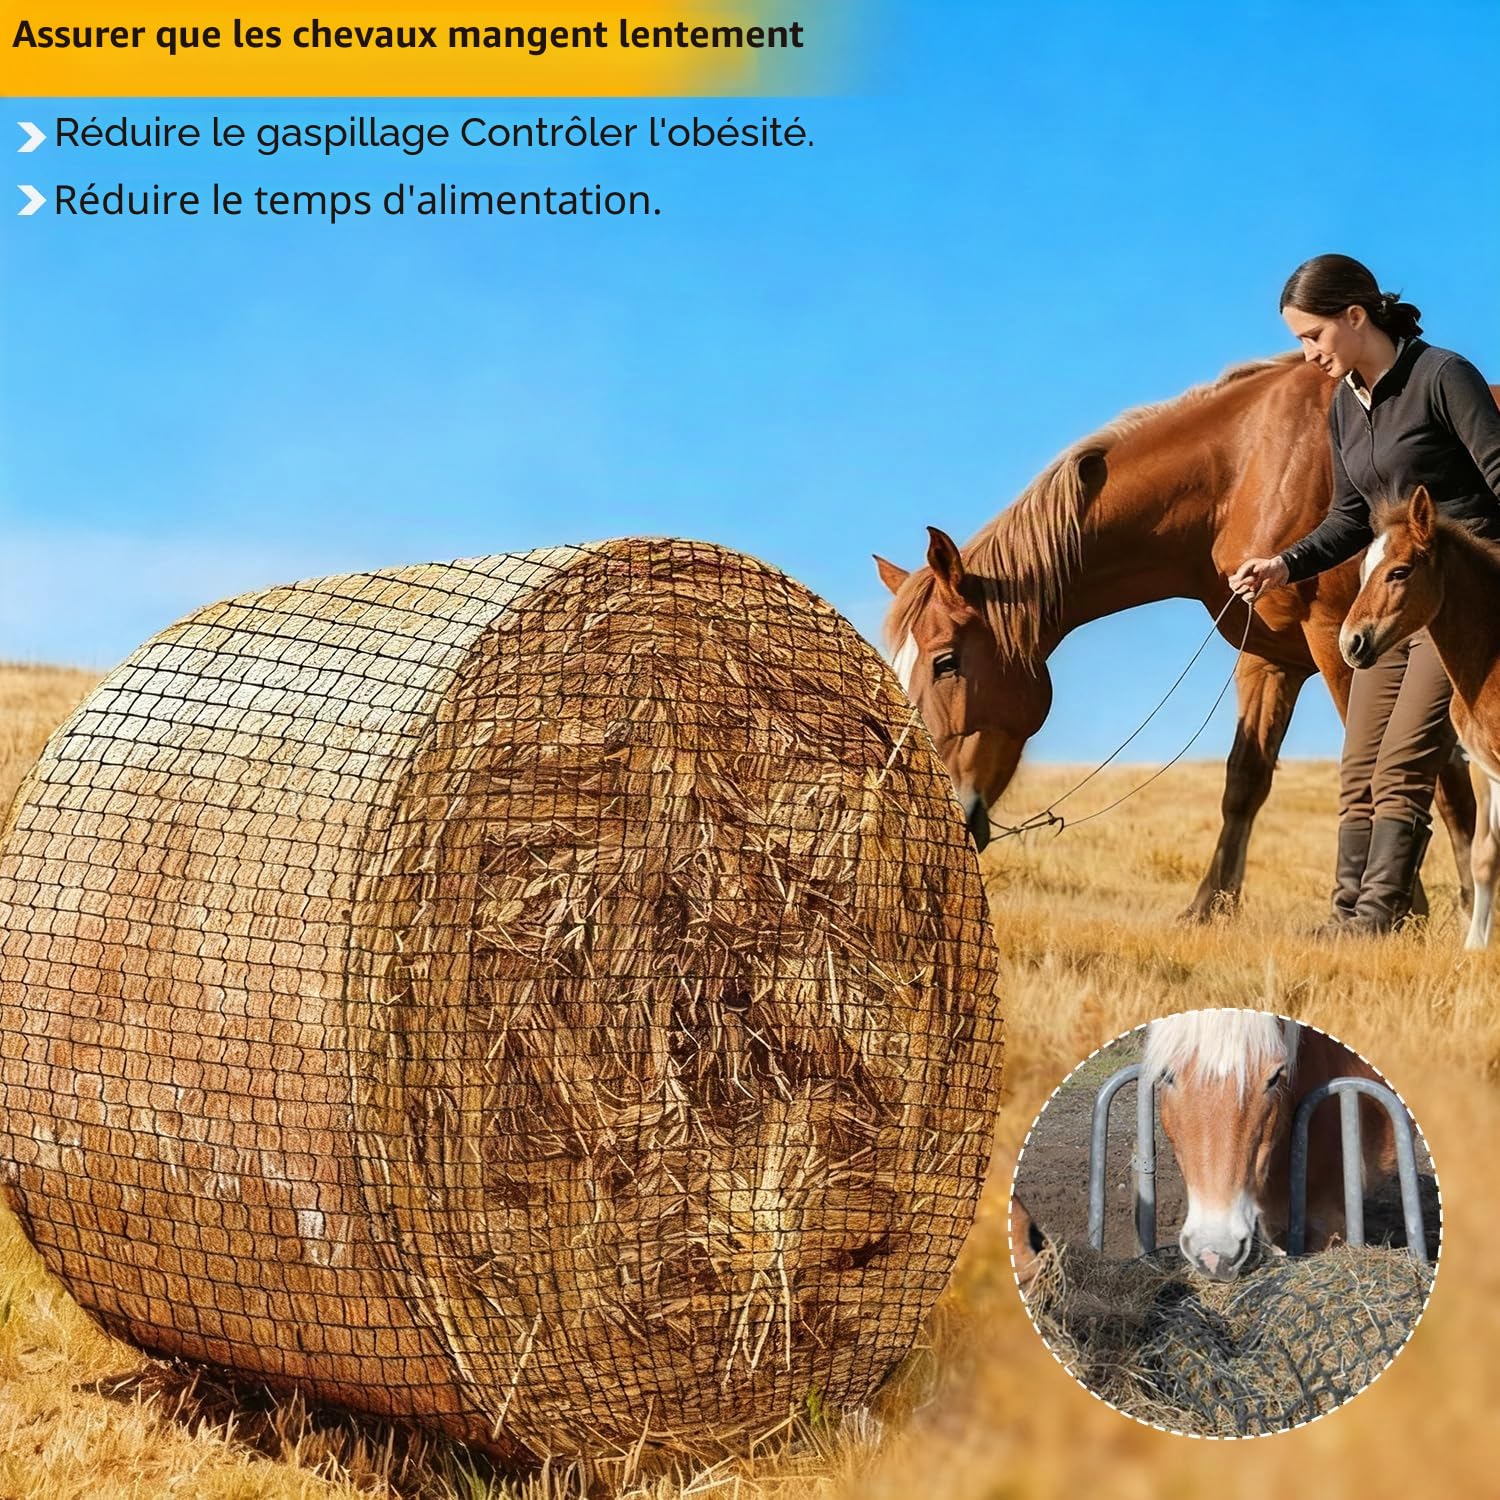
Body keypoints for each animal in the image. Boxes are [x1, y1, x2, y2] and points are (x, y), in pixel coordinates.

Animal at [1340, 485, 1500, 949]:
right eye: (1363, 572)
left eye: (1400, 572)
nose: (1350, 643)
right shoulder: (1485, 769)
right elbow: (1485, 856)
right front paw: (1475, 948)